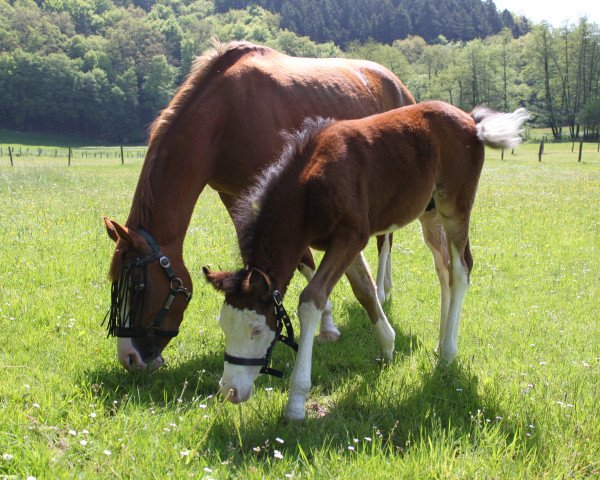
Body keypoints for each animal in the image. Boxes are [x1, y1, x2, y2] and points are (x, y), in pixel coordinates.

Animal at [103, 40, 412, 372]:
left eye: (138, 287)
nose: (129, 357)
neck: (225, 117)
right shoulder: (234, 196)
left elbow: (304, 259)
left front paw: (327, 324)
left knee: (385, 241)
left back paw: (381, 289)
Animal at [204, 102, 528, 420]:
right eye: (223, 326)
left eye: (256, 330)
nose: (230, 390)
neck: (310, 188)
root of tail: (471, 120)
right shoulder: (345, 243)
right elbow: (364, 289)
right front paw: (387, 346)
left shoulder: (351, 237)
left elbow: (312, 299)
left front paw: (296, 402)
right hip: (430, 213)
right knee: (443, 269)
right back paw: (440, 339)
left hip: (455, 205)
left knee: (461, 270)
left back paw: (448, 351)